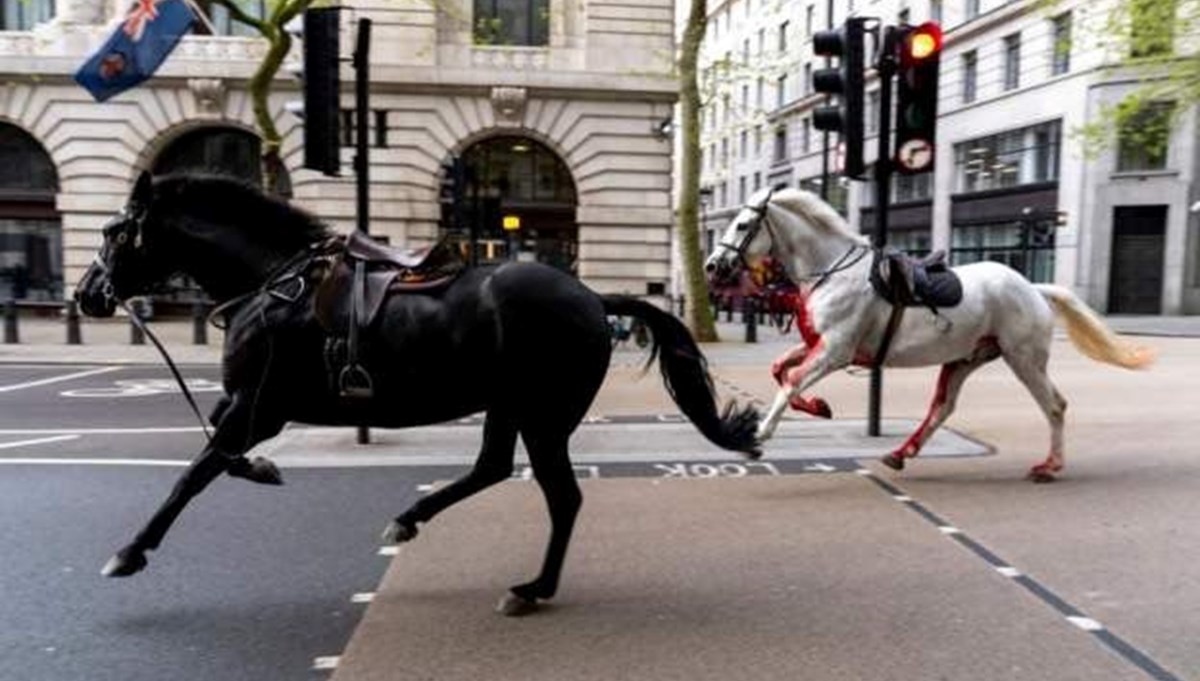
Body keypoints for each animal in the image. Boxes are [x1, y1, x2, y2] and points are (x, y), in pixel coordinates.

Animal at [75, 172, 753, 613]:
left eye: (113, 232)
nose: (86, 295)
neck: (273, 283)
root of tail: (592, 296)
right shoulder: (246, 404)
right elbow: (217, 453)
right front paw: (264, 469)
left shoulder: (259, 406)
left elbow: (195, 472)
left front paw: (130, 551)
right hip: (510, 406)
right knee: (492, 468)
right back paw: (412, 521)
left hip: (541, 413)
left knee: (561, 496)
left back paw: (532, 588)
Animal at [700, 189, 1152, 481]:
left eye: (743, 225)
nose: (711, 266)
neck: (832, 271)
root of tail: (1033, 289)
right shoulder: (819, 345)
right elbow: (781, 370)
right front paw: (818, 407)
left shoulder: (836, 351)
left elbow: (791, 380)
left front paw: (759, 434)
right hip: (965, 359)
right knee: (942, 408)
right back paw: (902, 453)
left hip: (1023, 358)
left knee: (1054, 406)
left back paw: (1050, 466)